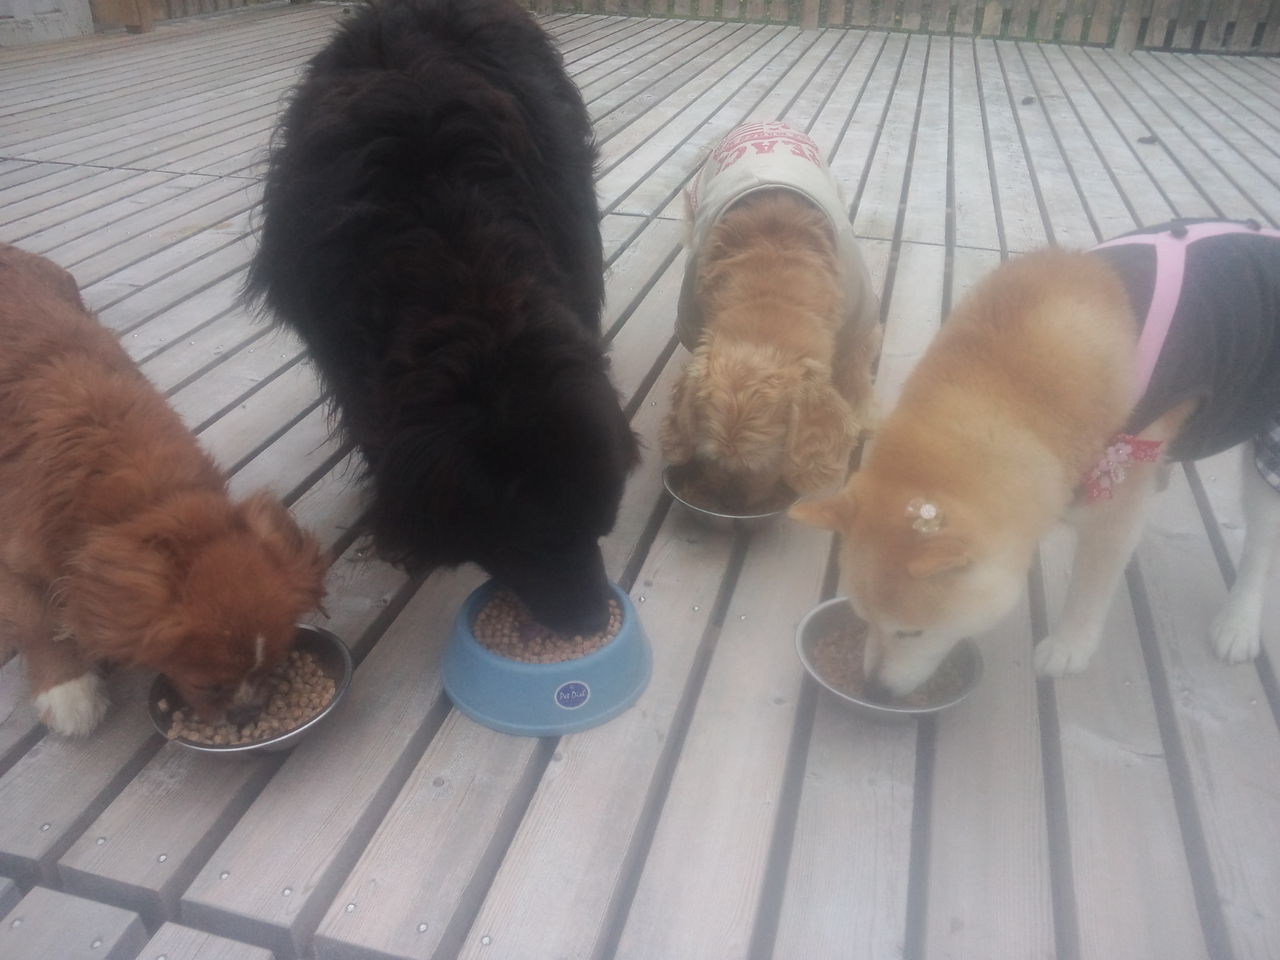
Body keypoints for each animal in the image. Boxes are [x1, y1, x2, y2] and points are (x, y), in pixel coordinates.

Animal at [0, 243, 328, 736]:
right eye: (209, 685)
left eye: (274, 665)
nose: (248, 714)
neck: (146, 499)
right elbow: (35, 623)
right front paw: (68, 691)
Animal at [659, 121, 881, 512]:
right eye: (710, 457)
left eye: (768, 462)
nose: (730, 501)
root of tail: (765, 121)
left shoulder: (861, 324)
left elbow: (855, 374)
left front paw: (864, 418)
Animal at [791, 220, 1280, 697]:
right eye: (863, 619)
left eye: (911, 633)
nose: (875, 690)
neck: (1002, 392)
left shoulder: (1116, 503)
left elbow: (1091, 586)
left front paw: (1070, 646)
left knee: (1260, 549)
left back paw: (1238, 622)